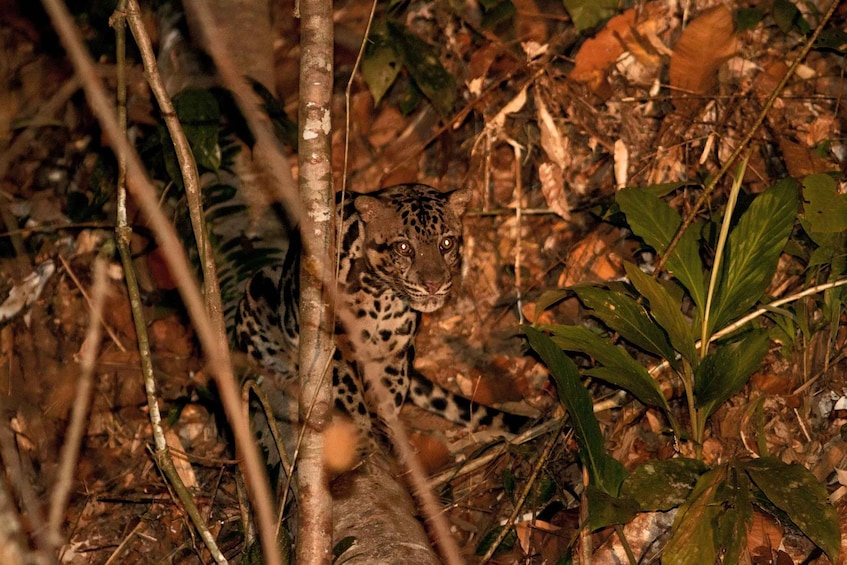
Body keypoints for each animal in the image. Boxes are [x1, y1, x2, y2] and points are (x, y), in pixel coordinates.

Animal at [233, 183, 527, 440]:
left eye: (446, 243)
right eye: (403, 247)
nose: (433, 285)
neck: (381, 298)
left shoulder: (395, 350)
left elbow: (388, 396)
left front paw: (387, 435)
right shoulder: (337, 344)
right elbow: (351, 395)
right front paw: (365, 436)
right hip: (260, 282)